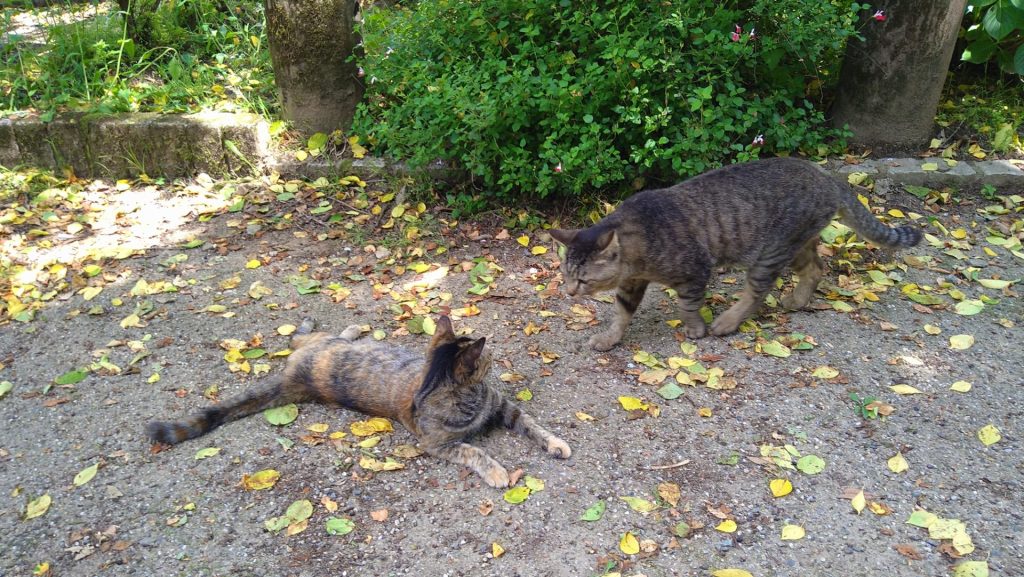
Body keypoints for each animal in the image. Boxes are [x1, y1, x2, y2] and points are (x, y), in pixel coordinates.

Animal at [148, 315, 573, 487]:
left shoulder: (503, 408)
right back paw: (348, 328)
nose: (495, 355)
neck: (471, 400)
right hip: (319, 344)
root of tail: (295, 381)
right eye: (486, 357)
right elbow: (475, 452)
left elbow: (533, 425)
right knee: (299, 337)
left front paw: (555, 443)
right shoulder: (436, 445)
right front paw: (498, 471)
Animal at [557, 155, 925, 350]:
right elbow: (621, 312)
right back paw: (797, 300)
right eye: (566, 274)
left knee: (756, 293)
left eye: (583, 279)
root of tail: (825, 176)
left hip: (770, 252)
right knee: (815, 268)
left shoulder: (696, 270)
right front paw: (610, 337)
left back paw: (728, 322)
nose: (569, 291)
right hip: (796, 245)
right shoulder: (631, 283)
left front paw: (695, 328)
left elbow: (688, 305)